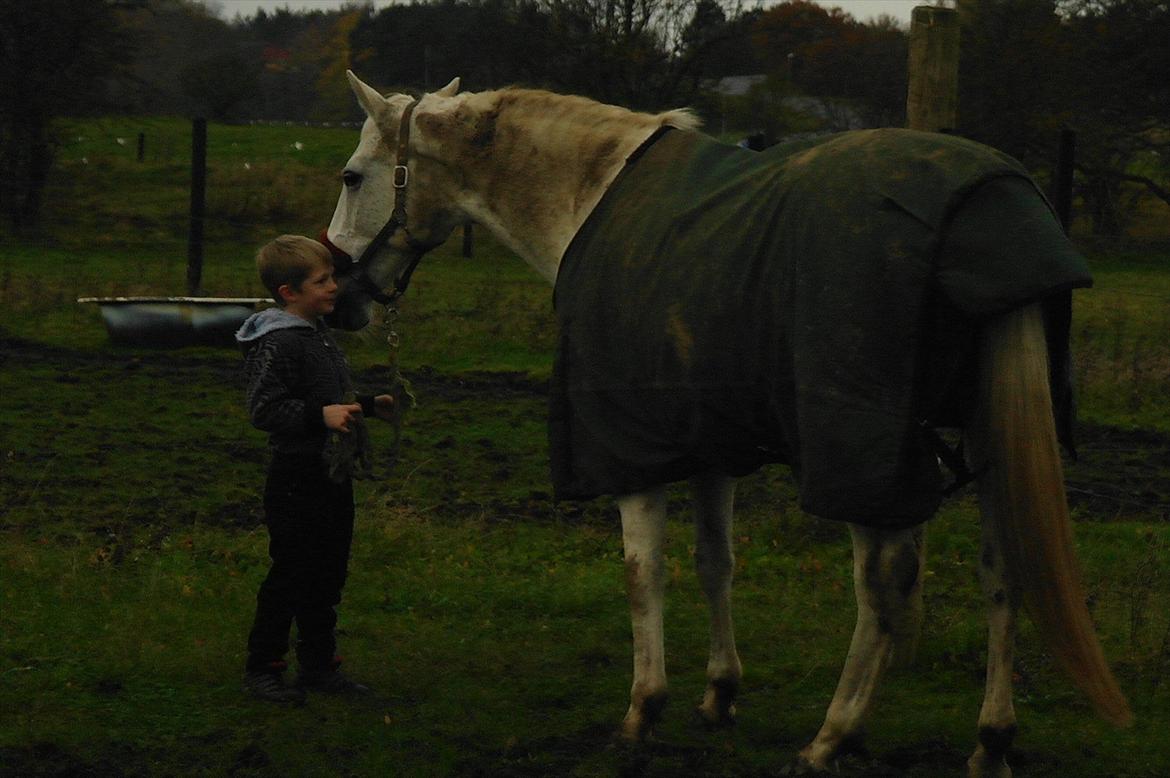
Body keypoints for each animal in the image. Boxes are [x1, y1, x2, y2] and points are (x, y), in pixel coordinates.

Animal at [325, 71, 1127, 772]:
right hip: (988, 433)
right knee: (1002, 568)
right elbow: (717, 562)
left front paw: (642, 711)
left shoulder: (630, 451)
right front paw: (719, 695)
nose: (340, 299)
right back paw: (990, 743)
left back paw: (832, 738)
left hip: (859, 455)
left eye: (353, 176)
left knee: (883, 585)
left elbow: (643, 572)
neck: (589, 195)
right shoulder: (707, 439)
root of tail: (989, 203)